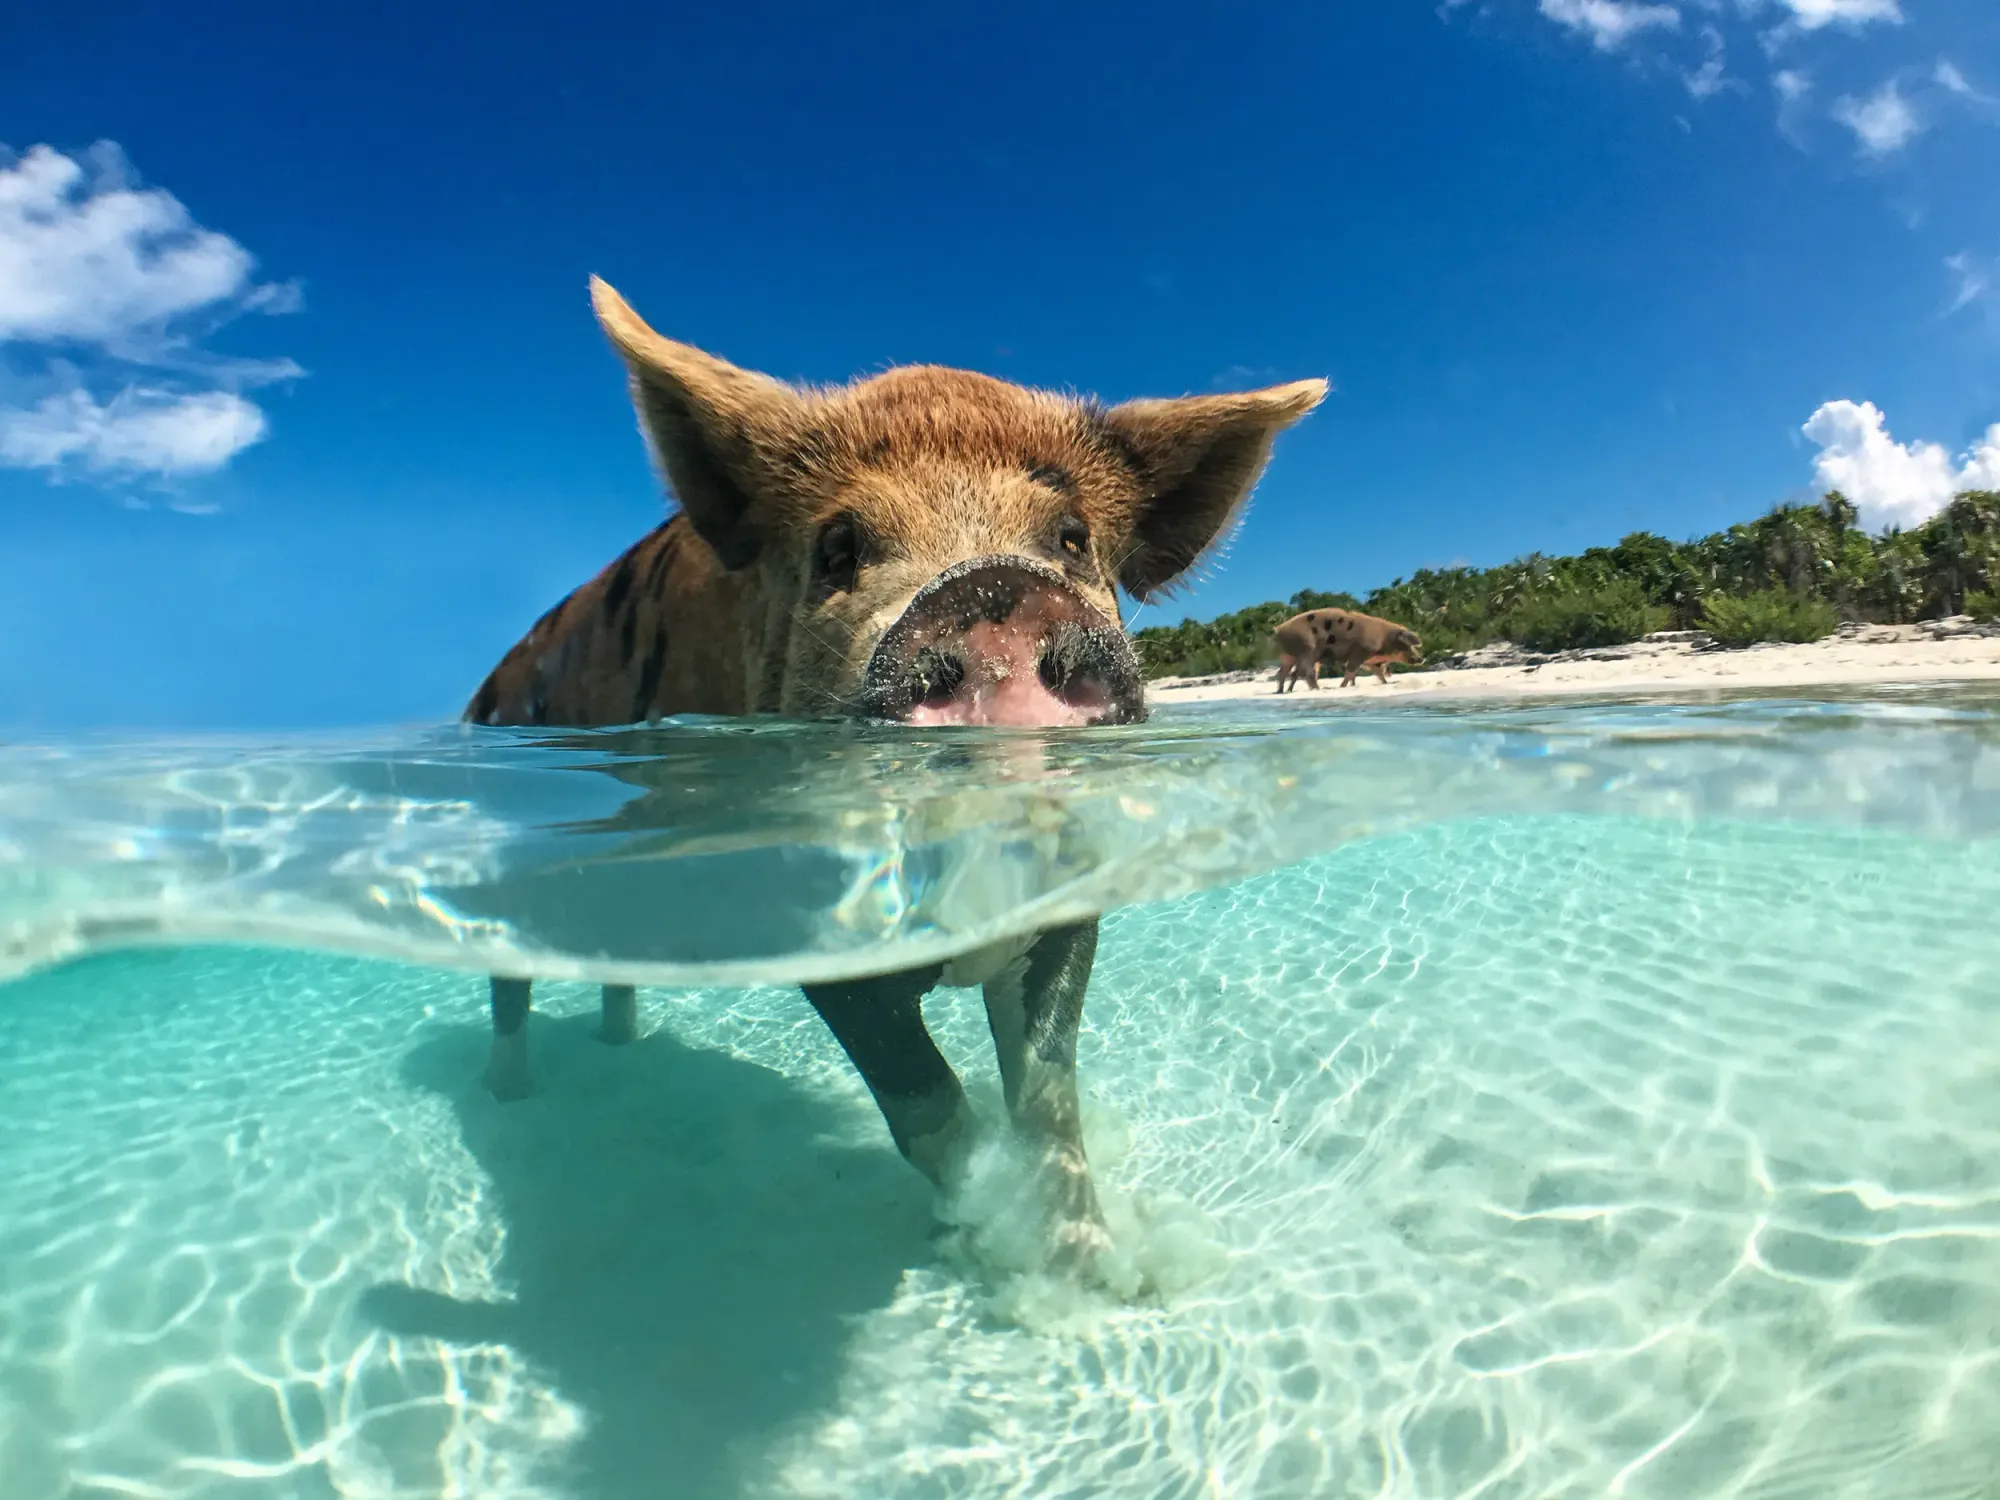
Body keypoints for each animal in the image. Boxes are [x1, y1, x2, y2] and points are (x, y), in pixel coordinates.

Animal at [463, 277, 1326, 1267]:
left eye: (1071, 538)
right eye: (838, 546)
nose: (993, 589)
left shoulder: (1071, 899)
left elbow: (1047, 1100)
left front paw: (1098, 1275)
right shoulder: (808, 916)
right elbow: (926, 1104)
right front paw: (985, 1247)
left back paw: (619, 1051)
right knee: (508, 983)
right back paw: (508, 1096)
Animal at [1272, 608, 1422, 692]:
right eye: (1407, 644)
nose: (1421, 658)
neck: (1384, 638)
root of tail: (1279, 629)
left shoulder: (1370, 660)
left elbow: (1378, 673)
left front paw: (1385, 683)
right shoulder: (1360, 652)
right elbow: (1351, 672)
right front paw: (1342, 687)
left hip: (1288, 654)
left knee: (1284, 672)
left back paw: (1281, 691)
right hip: (1308, 650)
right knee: (1306, 672)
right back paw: (1316, 689)